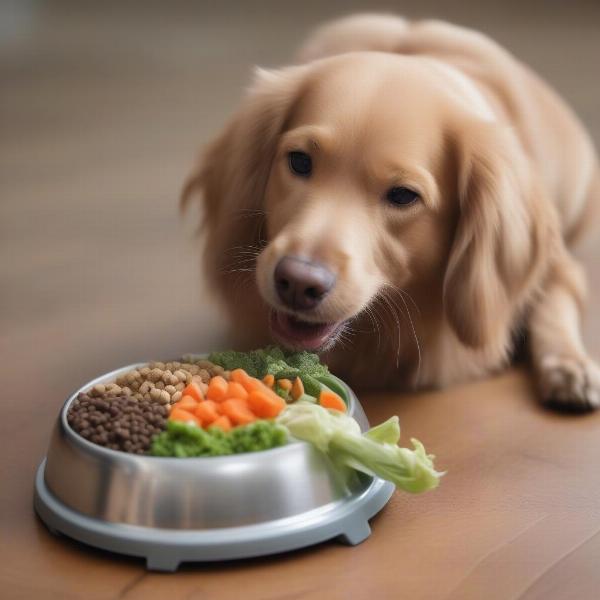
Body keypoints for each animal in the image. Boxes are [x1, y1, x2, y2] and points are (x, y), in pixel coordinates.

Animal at [183, 12, 600, 408]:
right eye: (299, 161)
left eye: (402, 195)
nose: (298, 283)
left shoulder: (557, 264)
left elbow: (557, 297)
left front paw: (570, 365)